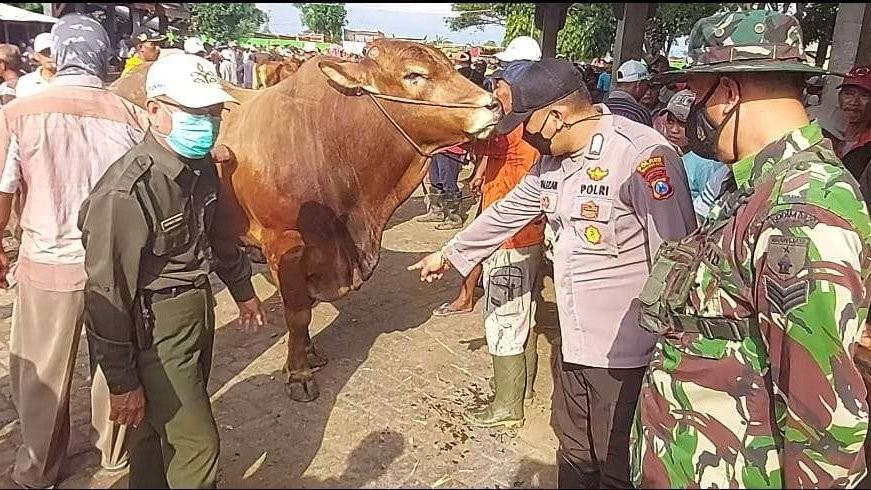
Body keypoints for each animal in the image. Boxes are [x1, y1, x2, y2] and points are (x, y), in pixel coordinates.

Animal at [112, 41, 500, 402]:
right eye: (415, 75)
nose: (494, 104)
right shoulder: (287, 244)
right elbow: (297, 313)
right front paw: (298, 372)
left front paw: (310, 352)